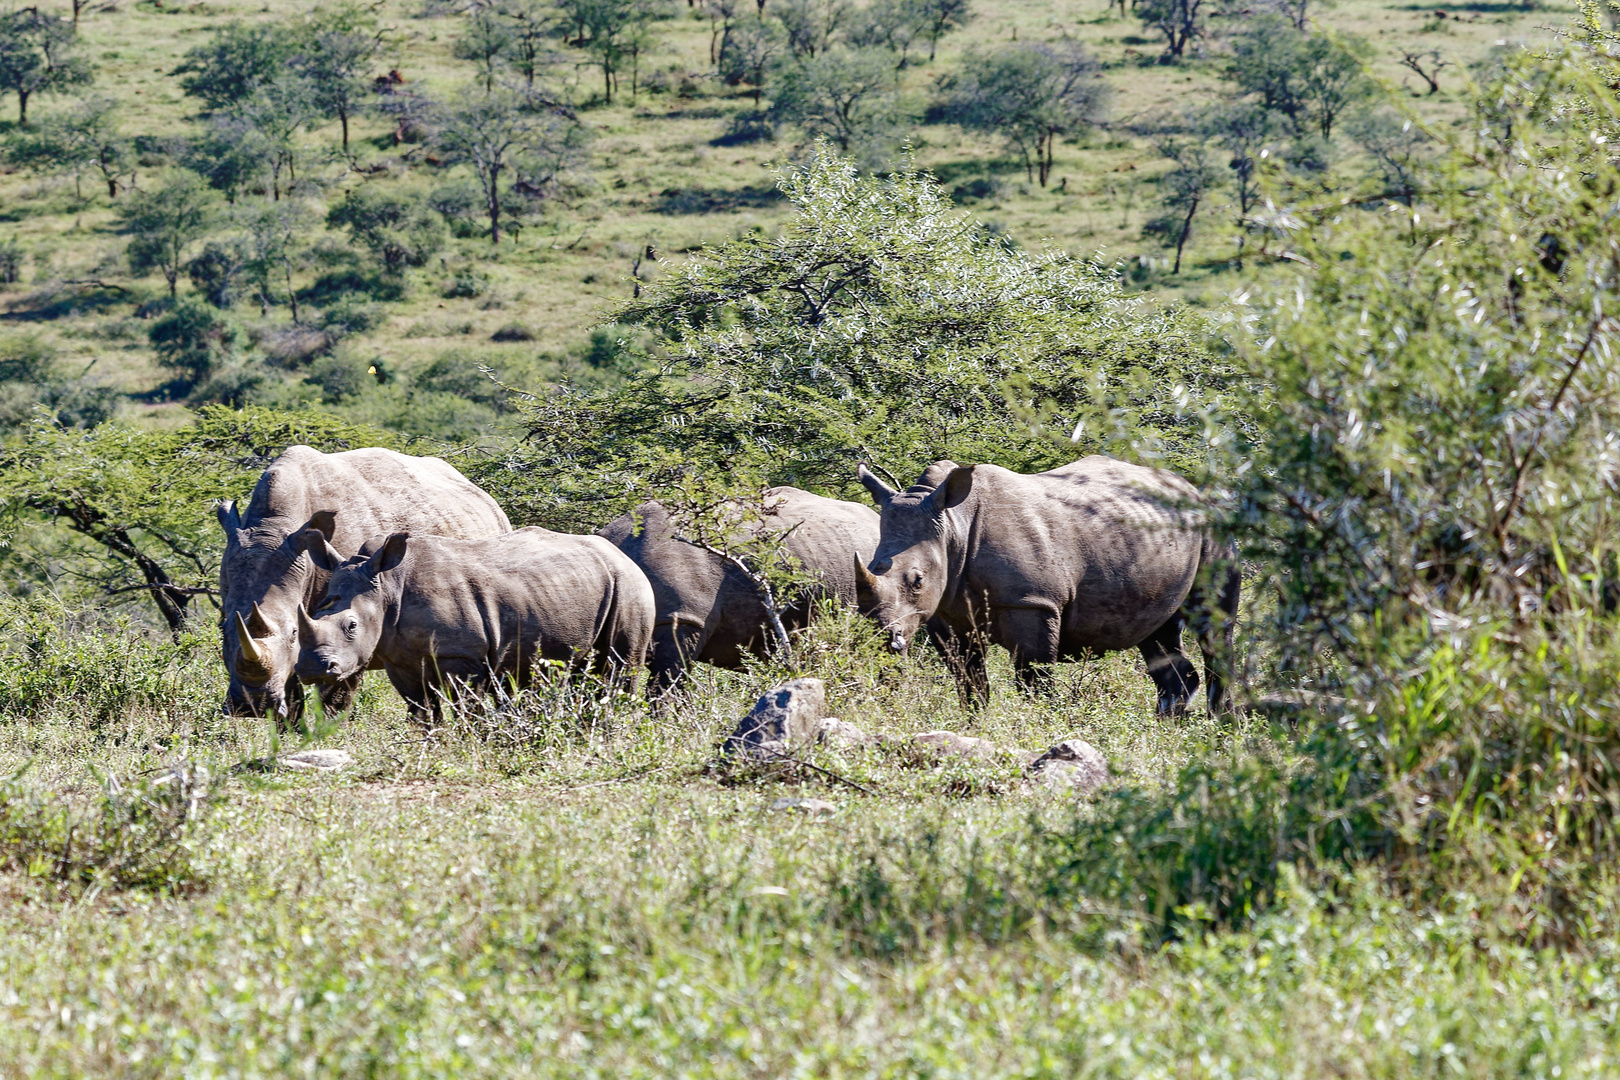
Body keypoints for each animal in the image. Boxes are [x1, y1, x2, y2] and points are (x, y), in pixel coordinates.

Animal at [215, 446, 505, 725]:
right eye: (222, 630)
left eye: (295, 632)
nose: (250, 706)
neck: (273, 525)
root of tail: (485, 498)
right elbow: (292, 693)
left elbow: (335, 692)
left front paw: (327, 734)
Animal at [294, 524, 654, 725]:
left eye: (352, 626)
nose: (311, 669)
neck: (385, 587)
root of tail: (623, 556)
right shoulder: (400, 659)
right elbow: (422, 711)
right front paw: (432, 746)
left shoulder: (461, 655)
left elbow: (468, 708)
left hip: (629, 585)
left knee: (618, 666)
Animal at [861, 456, 1237, 718]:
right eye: (870, 566)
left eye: (918, 580)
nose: (885, 640)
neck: (954, 525)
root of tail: (1196, 492)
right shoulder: (947, 611)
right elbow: (969, 681)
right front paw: (975, 726)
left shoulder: (1032, 602)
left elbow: (1032, 679)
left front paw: (1040, 725)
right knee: (1158, 635)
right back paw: (1169, 726)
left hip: (1215, 531)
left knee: (1215, 629)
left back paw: (1221, 725)